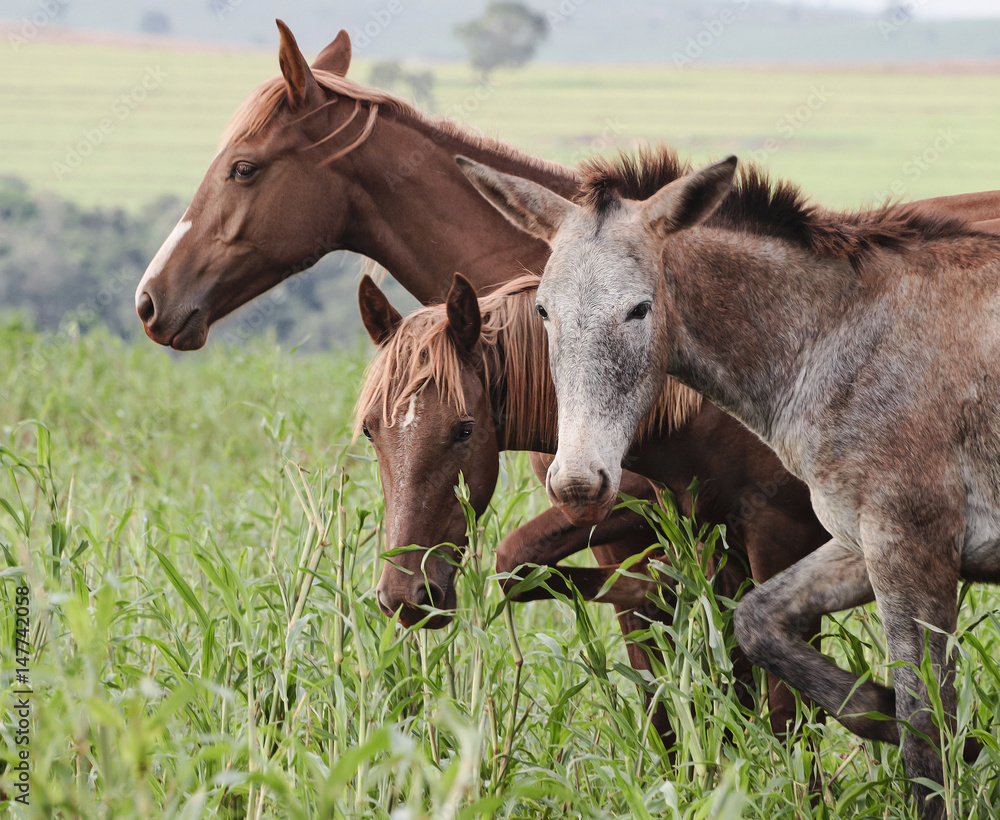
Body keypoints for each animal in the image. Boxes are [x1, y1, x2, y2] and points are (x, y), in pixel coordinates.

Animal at [457, 147, 1000, 818]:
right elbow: (758, 622)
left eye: (640, 309)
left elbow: (924, 727)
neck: (842, 339)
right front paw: (878, 713)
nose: (578, 483)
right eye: (544, 311)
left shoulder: (910, 547)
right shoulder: (859, 544)